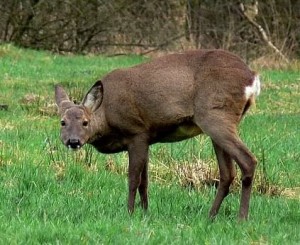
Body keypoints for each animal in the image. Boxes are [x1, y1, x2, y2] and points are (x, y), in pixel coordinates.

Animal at [55, 49, 260, 220]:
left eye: (85, 122)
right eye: (62, 122)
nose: (73, 141)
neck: (107, 115)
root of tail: (252, 78)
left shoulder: (136, 132)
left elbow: (133, 179)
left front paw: (129, 212)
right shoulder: (147, 139)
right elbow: (144, 182)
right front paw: (145, 212)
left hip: (215, 115)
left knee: (248, 161)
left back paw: (242, 218)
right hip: (218, 124)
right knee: (227, 173)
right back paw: (210, 216)